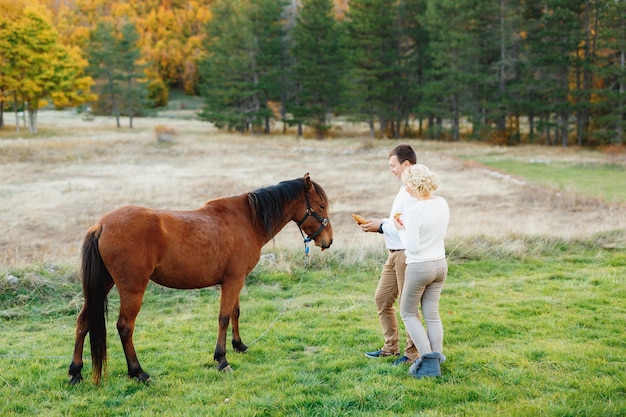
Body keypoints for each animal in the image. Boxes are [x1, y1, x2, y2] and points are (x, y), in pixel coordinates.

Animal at [68, 172, 332, 384]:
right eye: (320, 206)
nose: (327, 241)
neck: (247, 219)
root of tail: (101, 225)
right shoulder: (233, 280)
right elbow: (224, 318)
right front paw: (222, 359)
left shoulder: (235, 280)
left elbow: (235, 313)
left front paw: (238, 345)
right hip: (132, 289)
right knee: (125, 327)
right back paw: (138, 372)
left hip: (104, 284)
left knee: (83, 322)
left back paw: (75, 371)